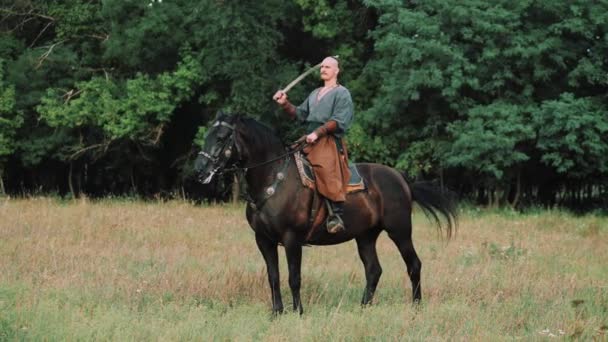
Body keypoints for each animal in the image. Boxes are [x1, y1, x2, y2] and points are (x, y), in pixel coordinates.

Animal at [195, 113, 456, 316]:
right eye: (208, 136)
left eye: (221, 138)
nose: (200, 170)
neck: (273, 178)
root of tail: (400, 179)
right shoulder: (264, 240)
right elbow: (273, 276)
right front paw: (277, 312)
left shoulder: (291, 239)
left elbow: (294, 276)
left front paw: (298, 312)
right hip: (366, 236)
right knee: (374, 270)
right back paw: (364, 307)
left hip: (400, 231)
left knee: (414, 264)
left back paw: (416, 306)